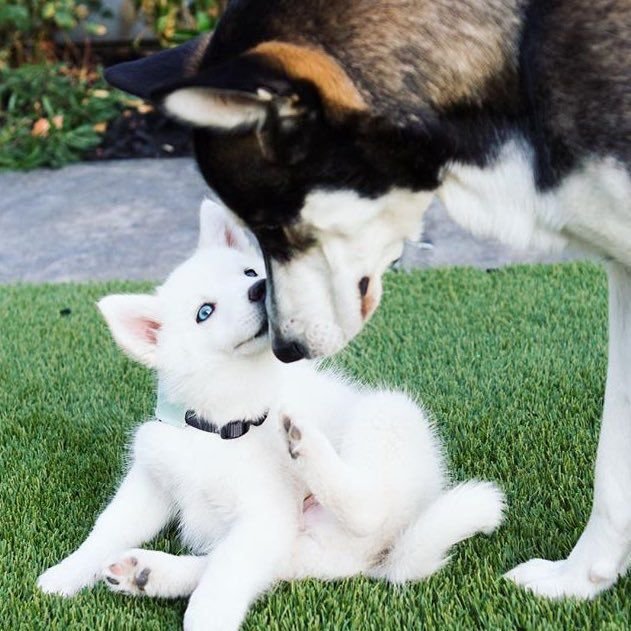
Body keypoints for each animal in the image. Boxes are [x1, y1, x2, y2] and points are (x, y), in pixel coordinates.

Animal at [38, 200, 504, 628]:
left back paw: (306, 445)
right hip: (306, 547)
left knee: (367, 507)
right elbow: (108, 529)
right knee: (258, 564)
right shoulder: (152, 481)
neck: (220, 424)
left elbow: (222, 581)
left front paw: (205, 621)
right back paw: (148, 573)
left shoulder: (264, 513)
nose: (260, 287)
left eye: (248, 273)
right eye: (204, 312)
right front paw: (65, 573)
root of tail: (385, 554)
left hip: (387, 415)